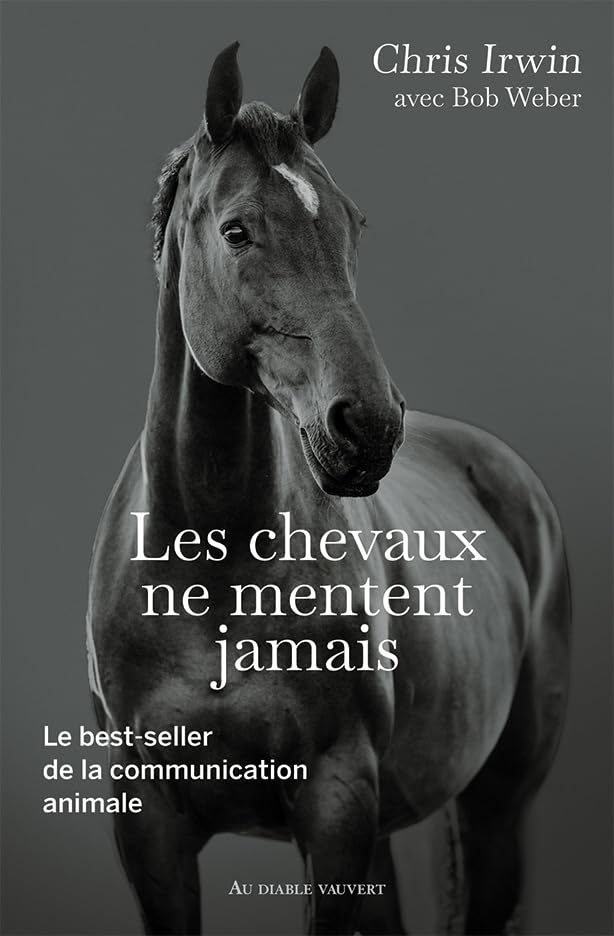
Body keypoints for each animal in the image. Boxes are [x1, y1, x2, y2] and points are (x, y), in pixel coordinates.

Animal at [87, 43, 571, 936]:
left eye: (352, 222)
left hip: (495, 806)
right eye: (237, 229)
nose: (369, 425)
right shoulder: (151, 826)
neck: (212, 574)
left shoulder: (336, 803)